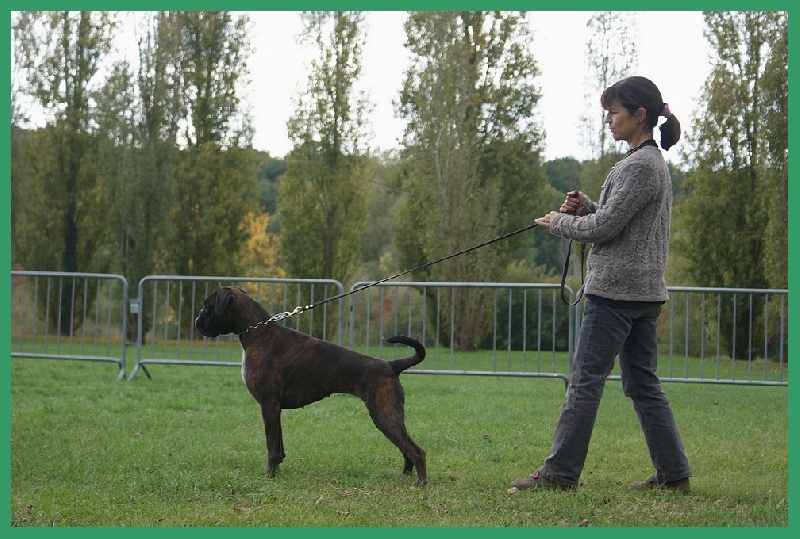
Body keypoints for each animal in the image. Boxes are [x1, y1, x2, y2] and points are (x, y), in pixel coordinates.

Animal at [195, 286, 427, 485]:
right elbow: (279, 446)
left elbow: (271, 445)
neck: (258, 333)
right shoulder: (275, 409)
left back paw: (420, 483)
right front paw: (276, 471)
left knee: (416, 451)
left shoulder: (268, 405)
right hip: (386, 417)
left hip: (385, 415)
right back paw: (406, 475)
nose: (197, 321)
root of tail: (391, 365)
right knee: (406, 448)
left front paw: (269, 475)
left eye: (208, 305)